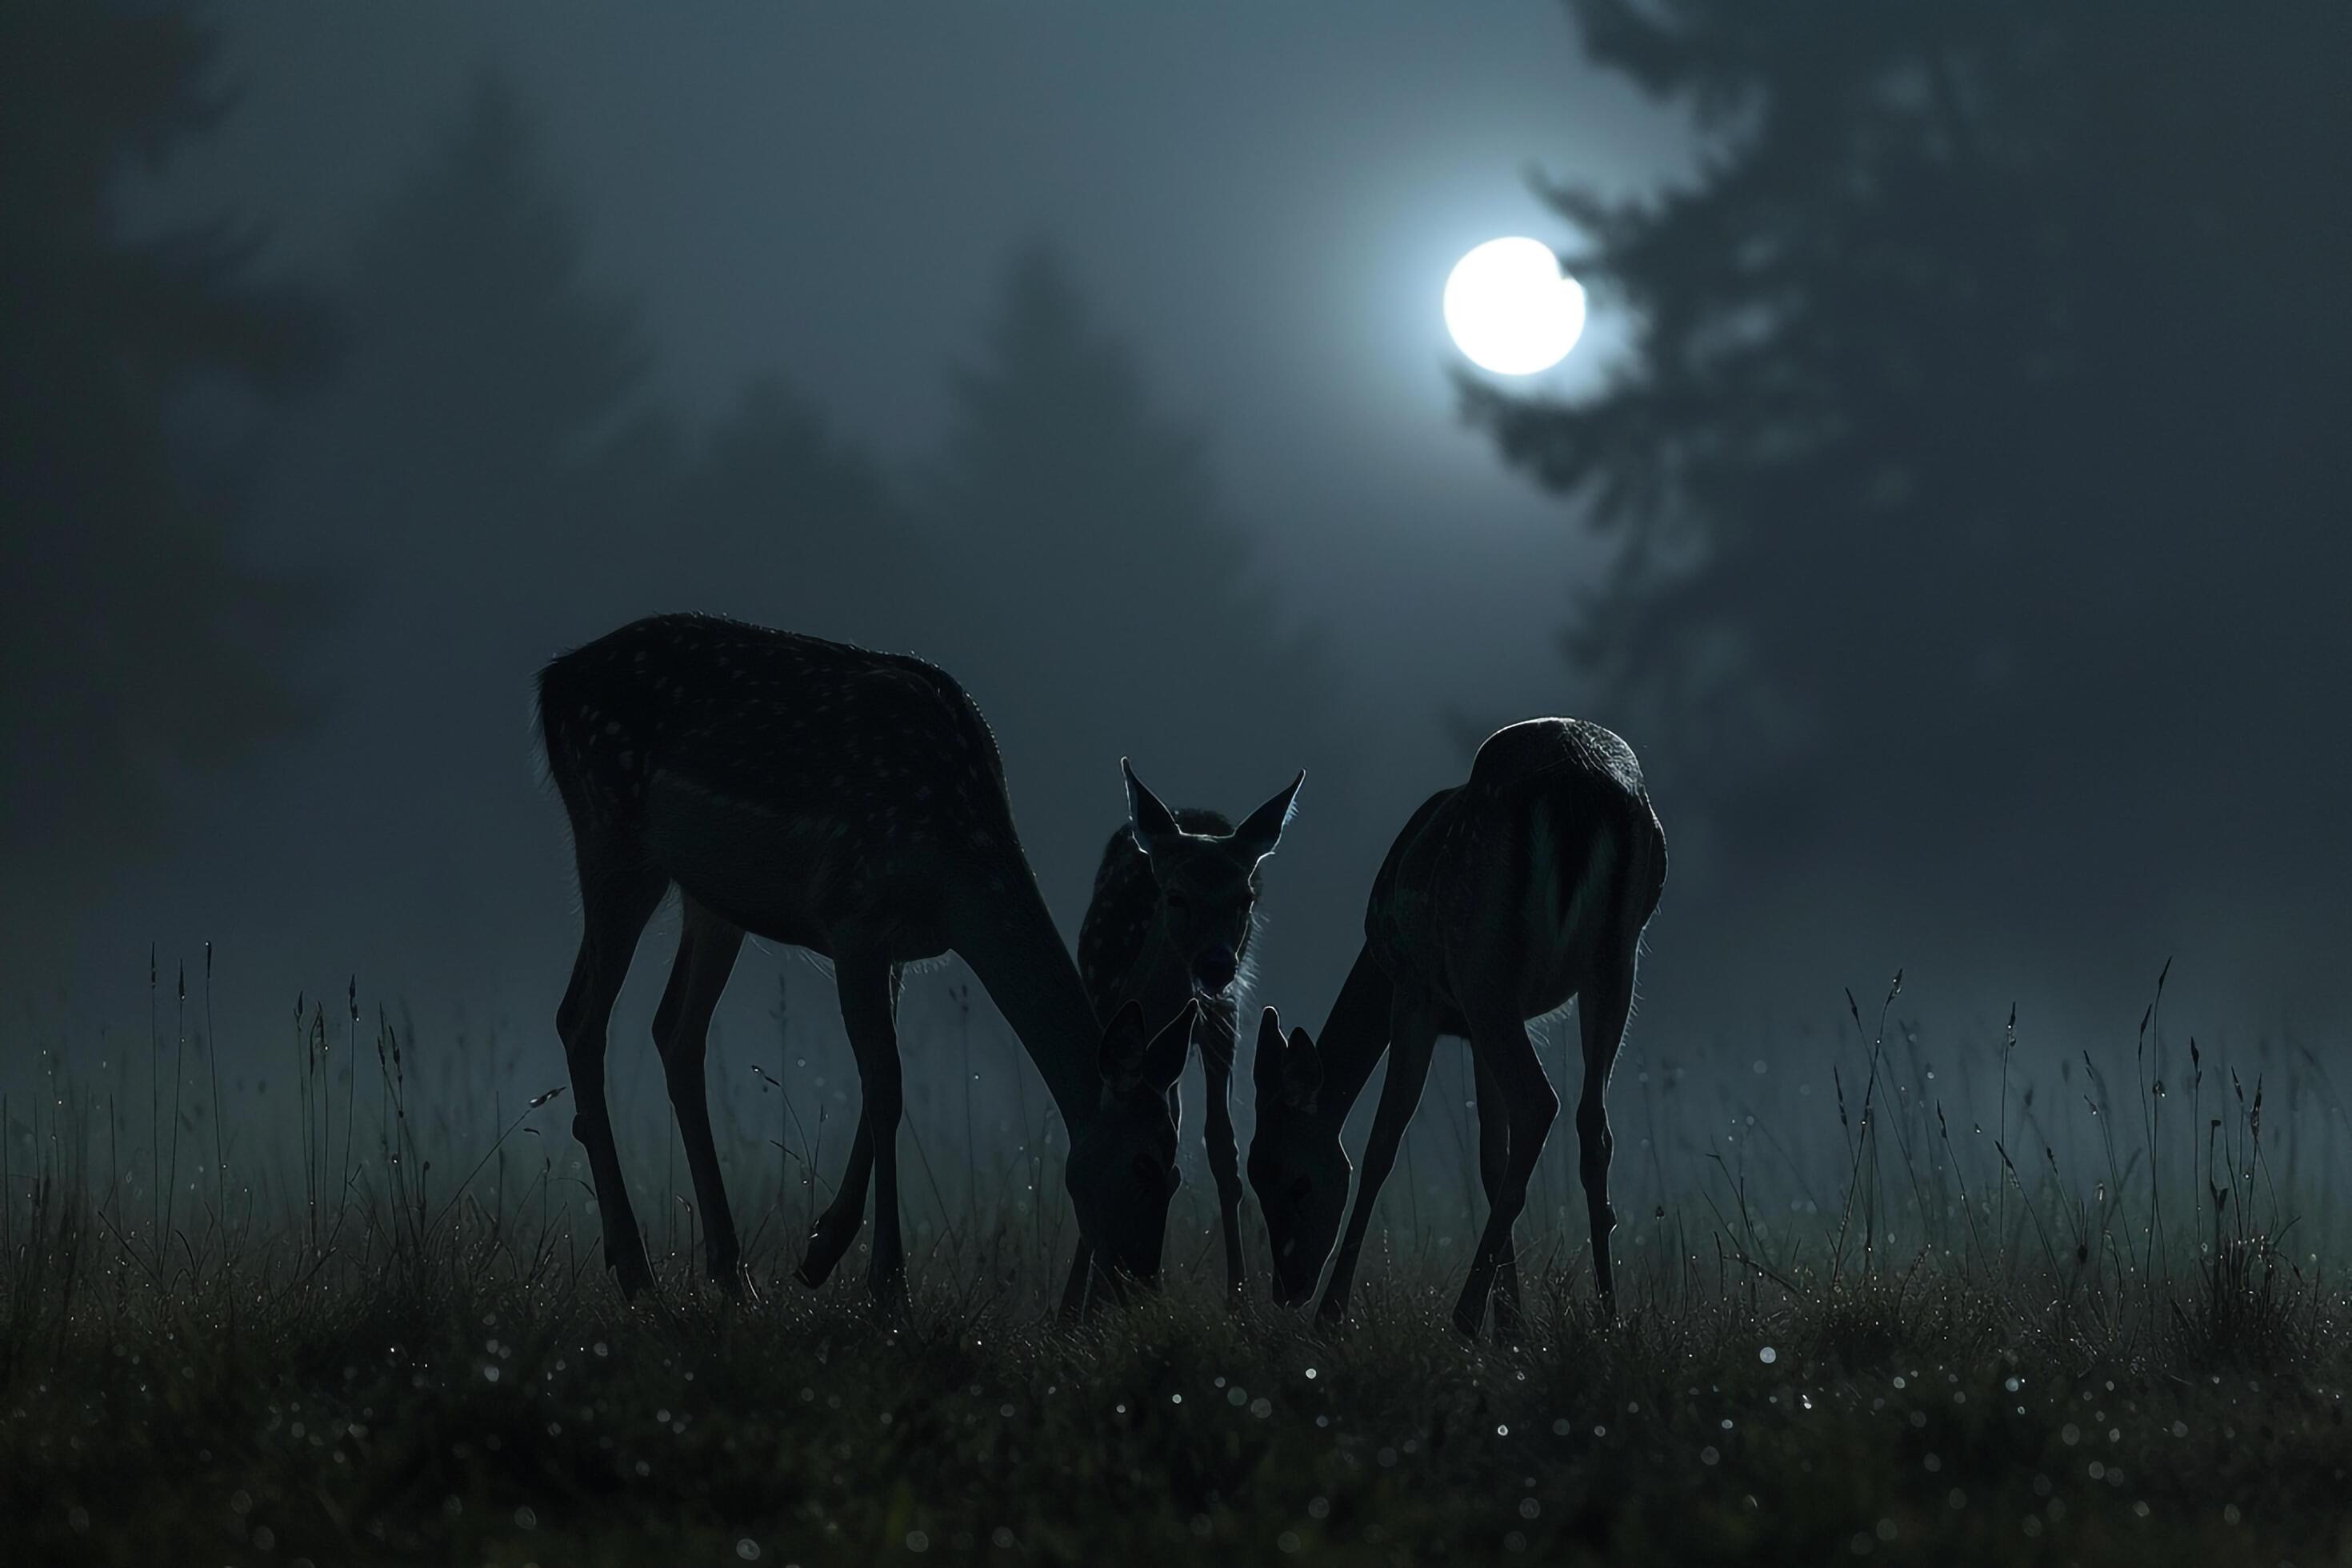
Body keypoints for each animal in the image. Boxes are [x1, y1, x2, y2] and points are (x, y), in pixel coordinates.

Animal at [543, 611, 1204, 1316]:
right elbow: (886, 1086)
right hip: (612, 835)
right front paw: (888, 1287)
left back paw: (730, 1274)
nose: (1139, 1281)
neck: (956, 875)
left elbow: (879, 1083)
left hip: (711, 899)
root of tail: (551, 681)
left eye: (1177, 1173)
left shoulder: (895, 949)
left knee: (675, 1030)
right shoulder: (853, 913)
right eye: (1143, 1164)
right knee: (581, 1018)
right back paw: (636, 1269)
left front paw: (820, 1251)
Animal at [1062, 762, 1317, 1316]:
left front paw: (1238, 1301)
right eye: (1175, 896)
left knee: (1216, 1144)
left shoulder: (1222, 1020)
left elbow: (1221, 1148)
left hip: (1227, 1014)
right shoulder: (1106, 1013)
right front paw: (1079, 1306)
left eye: (1245, 899)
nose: (1217, 965)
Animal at [1242, 719, 1665, 1335]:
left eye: (1291, 1178)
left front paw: (1333, 1315)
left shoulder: (1417, 991)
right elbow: (1492, 1157)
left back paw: (1463, 1319)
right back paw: (1607, 1315)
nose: (1288, 1290)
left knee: (1539, 1102)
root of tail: (1577, 788)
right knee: (1593, 1124)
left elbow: (1383, 1143)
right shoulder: (1473, 1029)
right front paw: (1510, 1323)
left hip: (1484, 958)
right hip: (1613, 961)